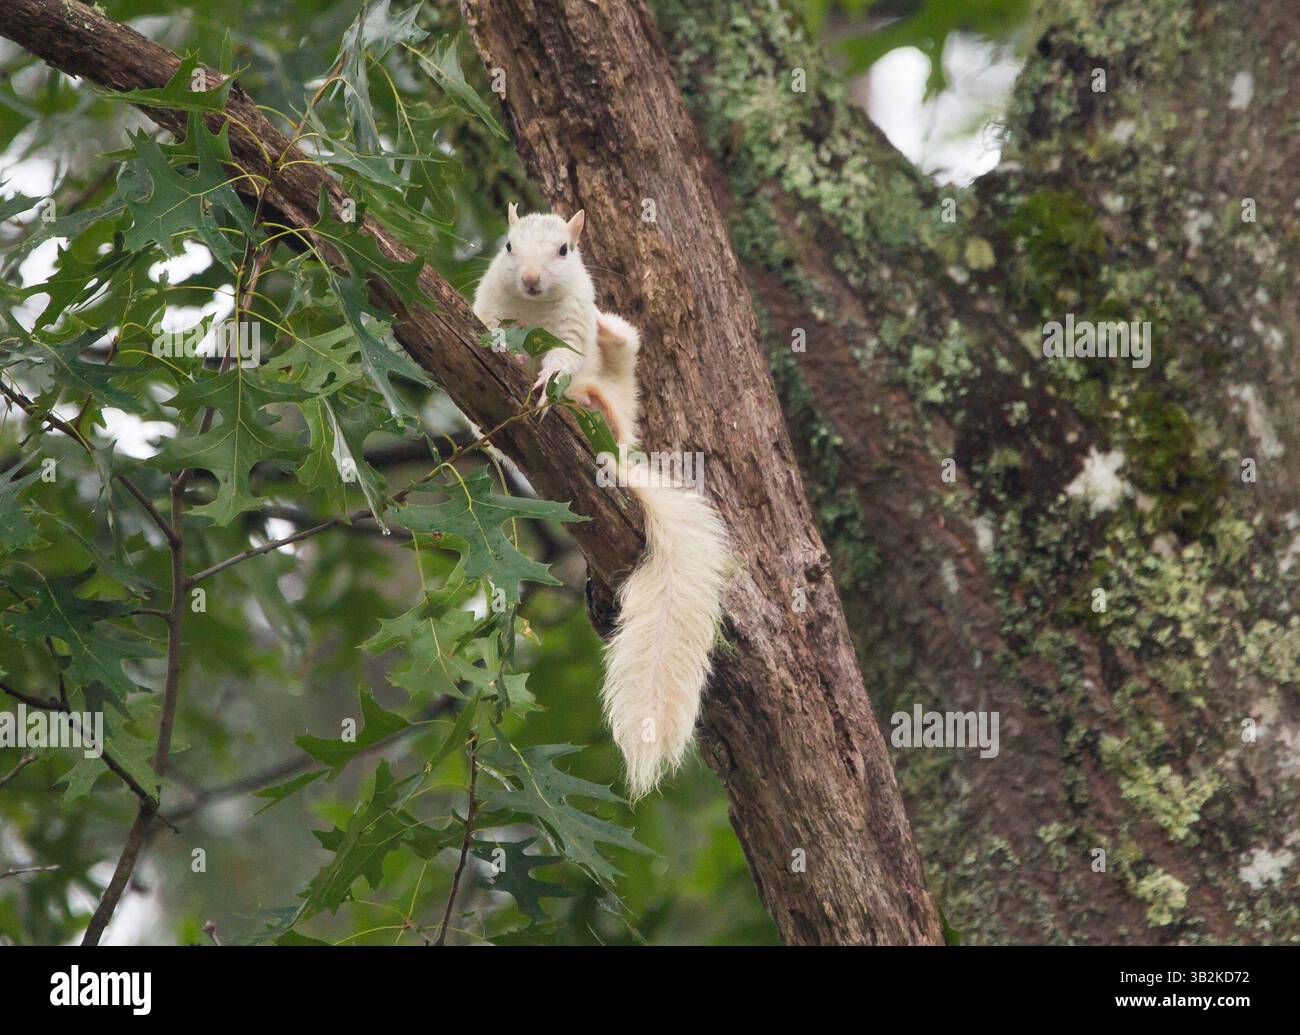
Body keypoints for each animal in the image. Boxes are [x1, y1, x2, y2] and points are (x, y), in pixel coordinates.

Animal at [473, 204, 730, 798]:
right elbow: (487, 327)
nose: (531, 279)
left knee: (611, 374)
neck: (532, 308)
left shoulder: (571, 330)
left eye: (565, 251)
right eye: (508, 246)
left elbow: (561, 362)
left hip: (615, 395)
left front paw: (546, 383)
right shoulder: (488, 304)